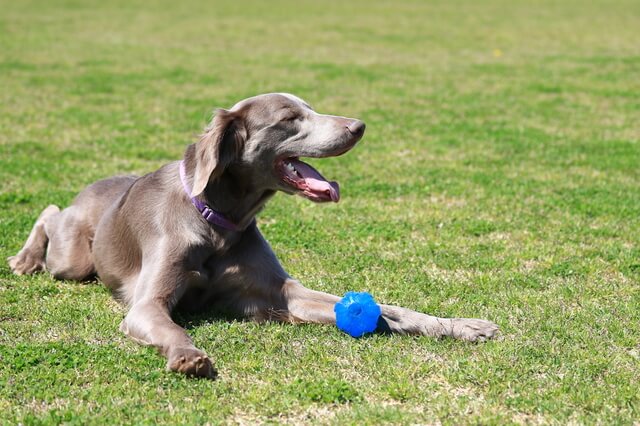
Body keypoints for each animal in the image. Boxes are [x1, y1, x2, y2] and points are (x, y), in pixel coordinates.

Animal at [8, 94, 500, 380]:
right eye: (290, 117)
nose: (358, 126)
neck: (220, 222)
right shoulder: (146, 305)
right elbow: (170, 324)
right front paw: (188, 356)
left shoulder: (281, 295)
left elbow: (393, 310)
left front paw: (460, 325)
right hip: (74, 259)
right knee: (51, 213)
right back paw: (25, 258)